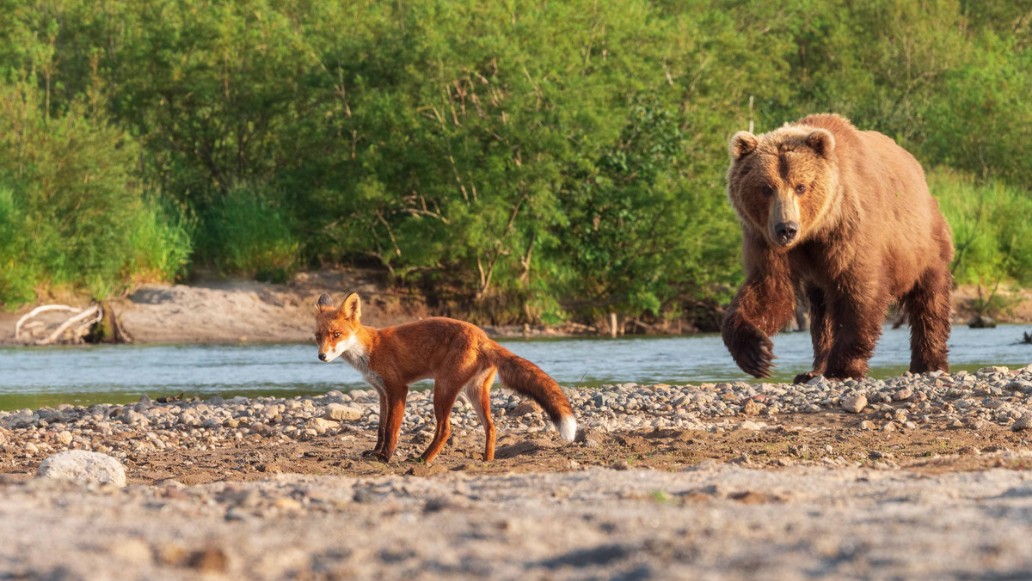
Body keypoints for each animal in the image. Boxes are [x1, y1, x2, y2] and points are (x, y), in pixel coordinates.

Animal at [313, 293, 577, 466]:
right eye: (318, 336)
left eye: (336, 334)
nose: (321, 356)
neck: (370, 348)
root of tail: (484, 337)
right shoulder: (381, 392)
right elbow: (380, 428)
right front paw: (376, 453)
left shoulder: (398, 388)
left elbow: (391, 430)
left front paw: (385, 458)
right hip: (474, 392)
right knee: (491, 426)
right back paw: (487, 460)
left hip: (442, 389)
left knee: (445, 429)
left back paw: (423, 459)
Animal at [722, 113, 953, 381]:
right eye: (766, 187)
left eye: (801, 186)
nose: (786, 228)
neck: (815, 231)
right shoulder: (766, 239)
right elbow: (769, 288)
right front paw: (756, 353)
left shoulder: (850, 230)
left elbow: (859, 292)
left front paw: (842, 368)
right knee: (822, 315)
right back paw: (812, 371)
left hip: (921, 243)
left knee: (929, 300)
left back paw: (928, 364)